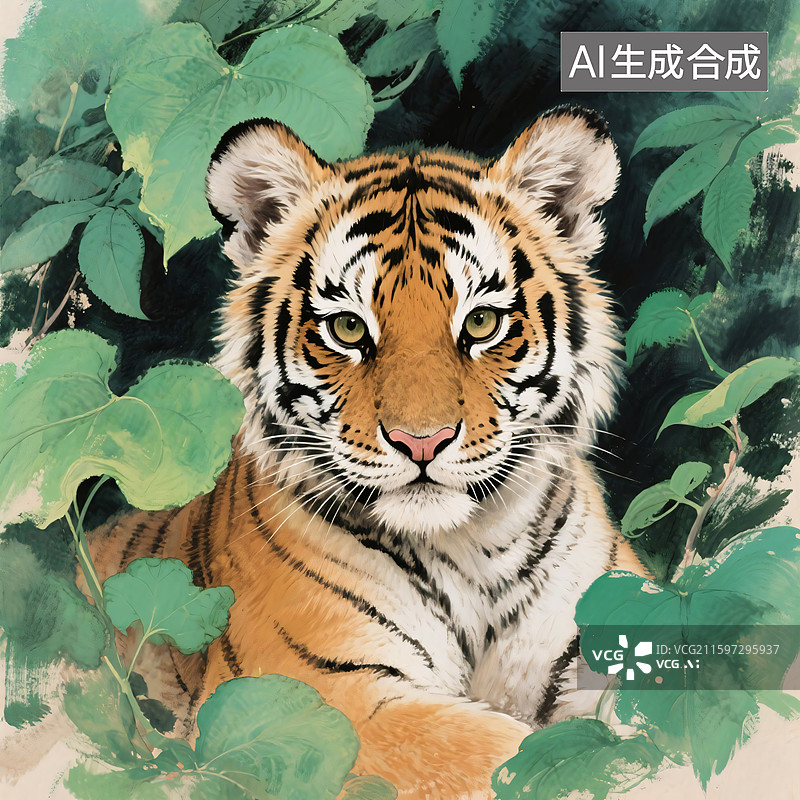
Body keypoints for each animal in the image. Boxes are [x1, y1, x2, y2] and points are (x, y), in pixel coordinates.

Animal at [89, 105, 644, 799]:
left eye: (481, 323)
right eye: (349, 328)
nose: (421, 441)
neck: (472, 554)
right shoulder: (313, 694)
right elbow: (504, 757)